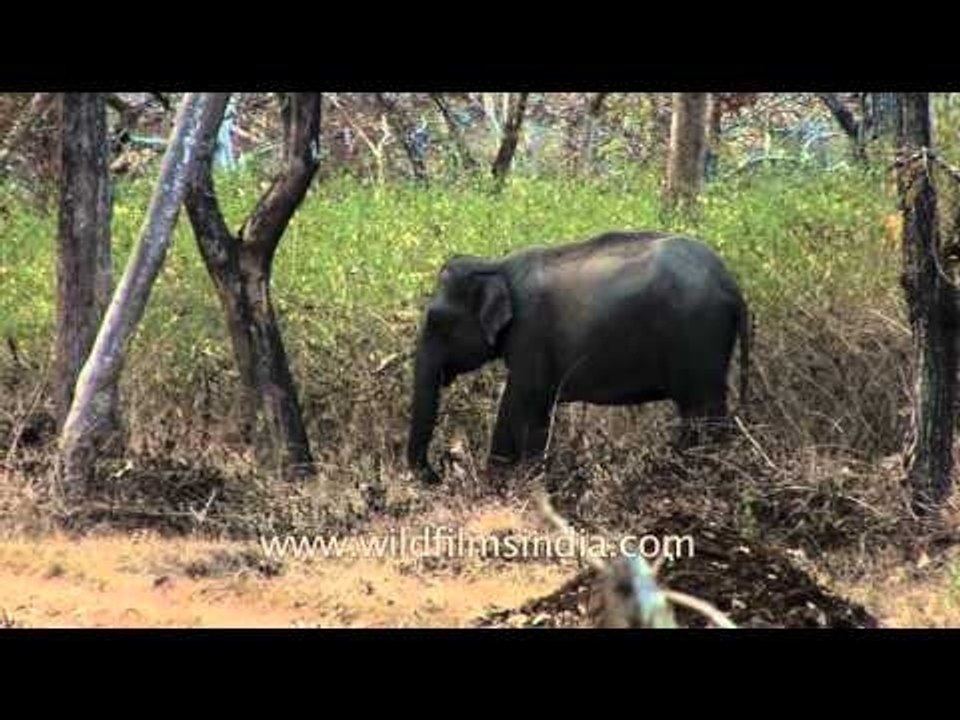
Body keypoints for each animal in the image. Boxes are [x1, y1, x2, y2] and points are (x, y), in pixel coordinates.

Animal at [406, 230, 751, 485]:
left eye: (436, 321)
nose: (438, 474)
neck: (496, 265)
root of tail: (732, 285)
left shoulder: (530, 332)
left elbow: (520, 399)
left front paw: (501, 481)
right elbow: (537, 409)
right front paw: (530, 478)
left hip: (698, 334)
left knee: (704, 409)